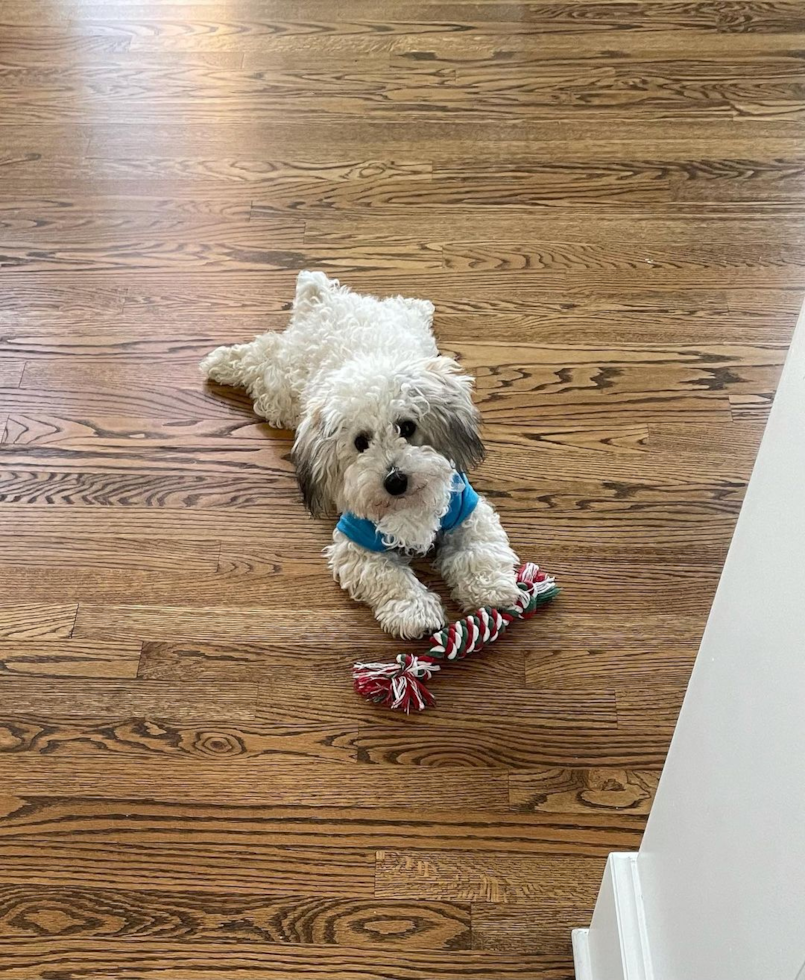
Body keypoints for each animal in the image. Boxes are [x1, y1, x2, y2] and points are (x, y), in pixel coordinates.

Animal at [201, 272, 520, 640]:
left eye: (407, 427)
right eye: (360, 442)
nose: (395, 479)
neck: (406, 506)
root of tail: (322, 300)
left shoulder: (467, 510)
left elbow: (478, 552)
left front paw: (490, 588)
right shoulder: (356, 543)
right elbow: (391, 580)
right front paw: (415, 613)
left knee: (400, 304)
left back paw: (420, 306)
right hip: (281, 389)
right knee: (263, 354)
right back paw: (221, 362)